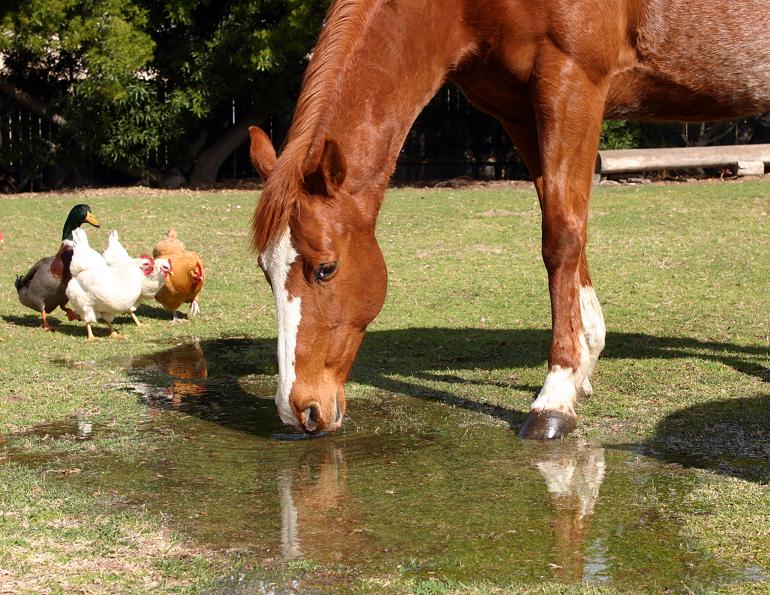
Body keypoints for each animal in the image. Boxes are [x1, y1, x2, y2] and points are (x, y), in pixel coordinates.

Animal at [248, 0, 770, 438]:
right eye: (265, 273)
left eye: (325, 269)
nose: (299, 410)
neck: (467, 11)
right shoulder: (521, 112)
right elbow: (567, 226)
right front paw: (584, 359)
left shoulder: (572, 83)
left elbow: (561, 238)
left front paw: (555, 396)